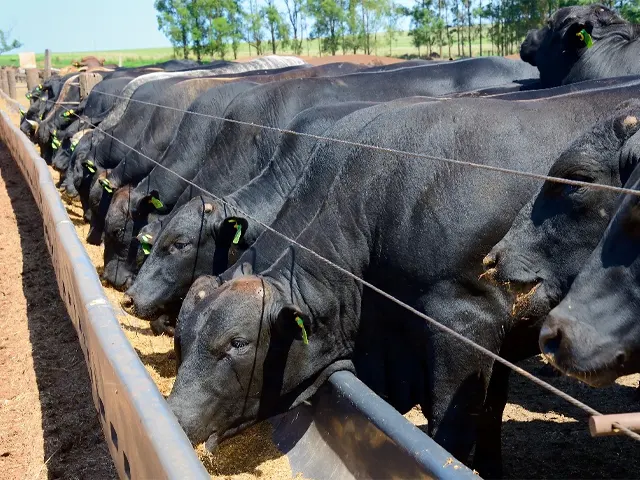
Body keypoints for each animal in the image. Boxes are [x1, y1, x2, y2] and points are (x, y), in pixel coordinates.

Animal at [164, 80, 640, 474]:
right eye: (183, 339)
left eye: (237, 343)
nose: (176, 416)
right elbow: (491, 416)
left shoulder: (468, 323)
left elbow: (452, 431)